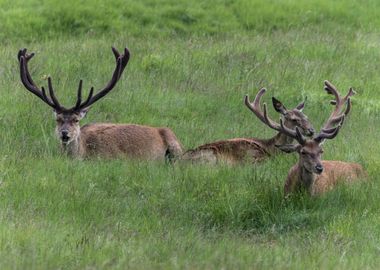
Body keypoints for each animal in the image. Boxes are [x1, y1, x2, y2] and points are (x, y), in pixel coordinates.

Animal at [182, 88, 314, 165]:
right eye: (294, 119)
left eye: (307, 117)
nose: (312, 130)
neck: (271, 148)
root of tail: (179, 162)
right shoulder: (254, 158)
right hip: (210, 157)